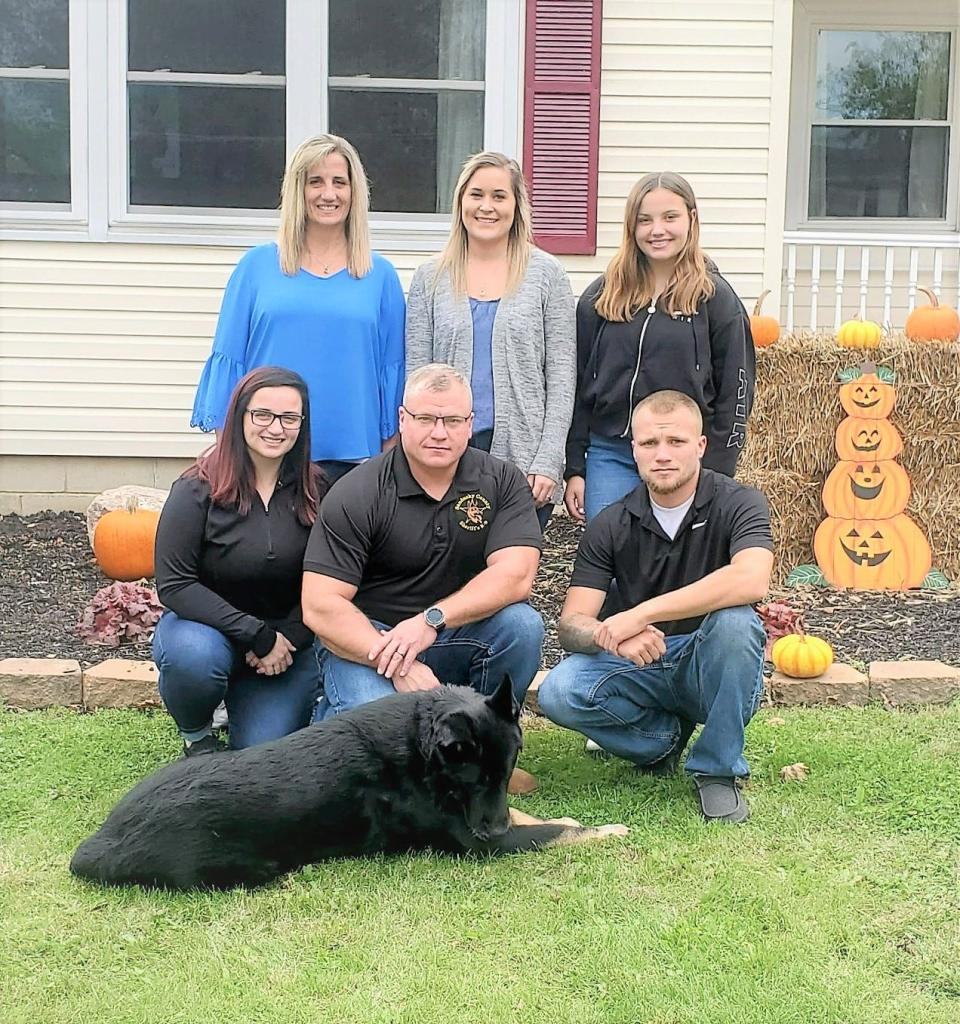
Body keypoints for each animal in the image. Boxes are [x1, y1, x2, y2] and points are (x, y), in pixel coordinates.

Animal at [73, 679, 630, 888]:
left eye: (508, 771)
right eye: (475, 779)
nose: (494, 829)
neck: (419, 747)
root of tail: (96, 845)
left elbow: (537, 819)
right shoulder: (474, 842)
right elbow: (556, 833)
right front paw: (606, 830)